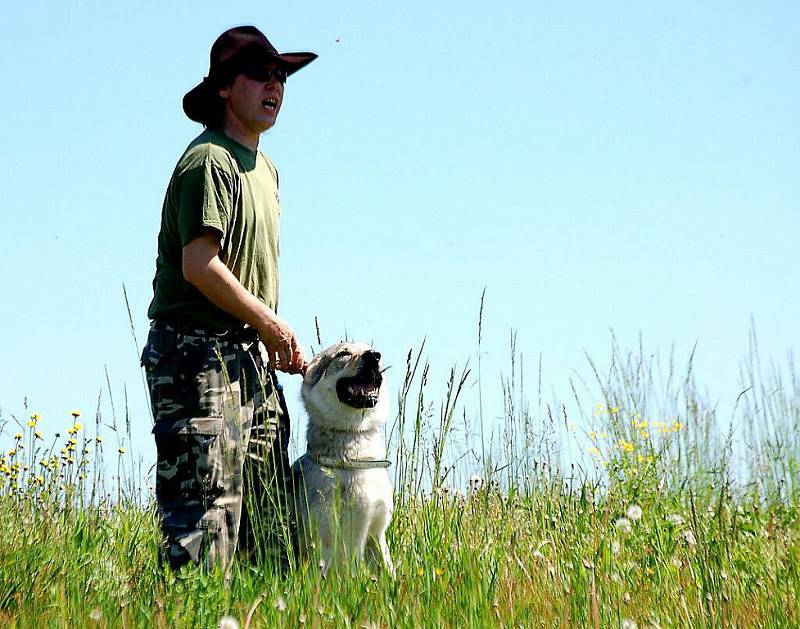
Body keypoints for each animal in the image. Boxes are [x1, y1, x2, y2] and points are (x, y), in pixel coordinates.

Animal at [292, 340, 396, 576]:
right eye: (343, 354)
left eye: (371, 349)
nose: (374, 355)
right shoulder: (324, 538)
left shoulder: (377, 534)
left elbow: (390, 574)